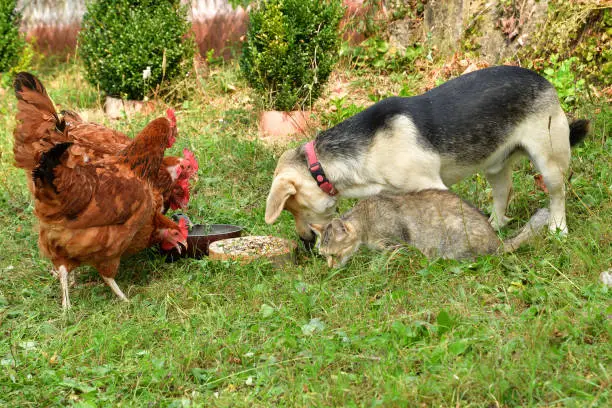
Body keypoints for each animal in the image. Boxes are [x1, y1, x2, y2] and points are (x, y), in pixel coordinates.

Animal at [266, 65, 592, 247]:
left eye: (293, 208)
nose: (304, 241)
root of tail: (544, 80)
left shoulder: (432, 186)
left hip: (549, 160)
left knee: (557, 194)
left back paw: (557, 228)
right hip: (495, 167)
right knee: (502, 194)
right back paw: (495, 224)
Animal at [310, 189, 548, 268]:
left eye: (334, 255)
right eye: (323, 255)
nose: (330, 267)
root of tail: (496, 241)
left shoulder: (395, 243)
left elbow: (386, 258)